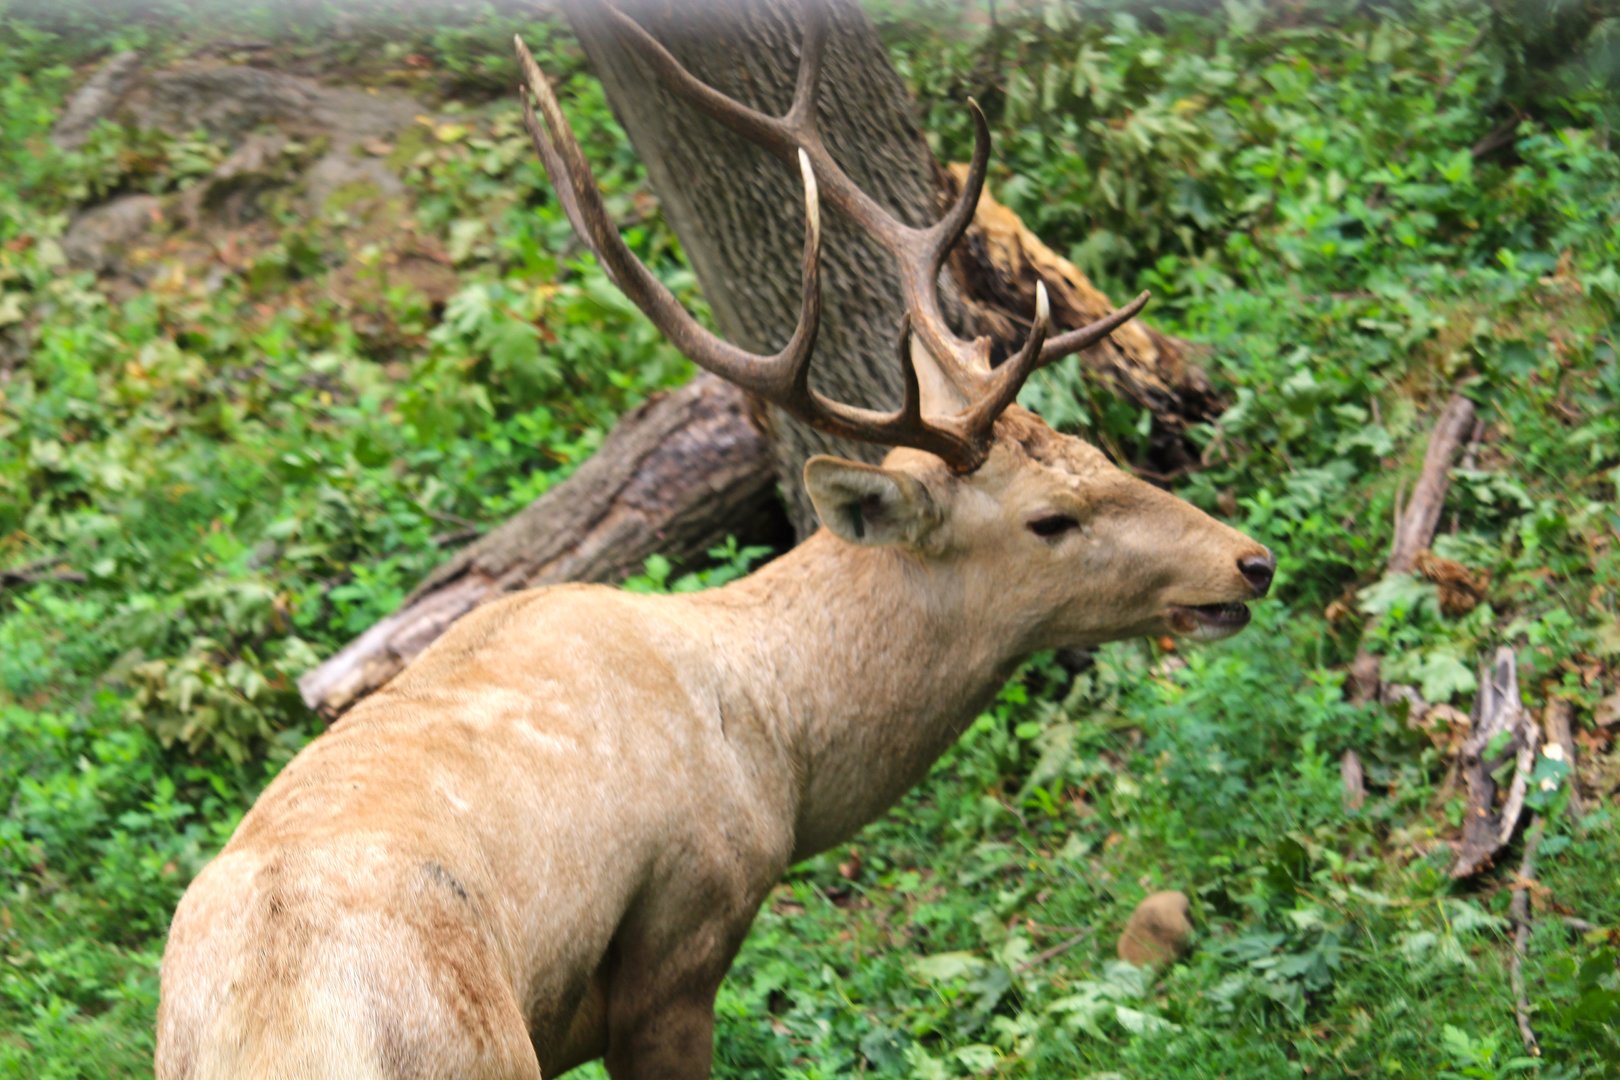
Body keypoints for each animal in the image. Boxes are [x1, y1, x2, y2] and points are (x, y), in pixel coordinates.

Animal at [155, 7, 1276, 1079]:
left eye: (1096, 450)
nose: (1250, 560)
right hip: (481, 1048)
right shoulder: (687, 930)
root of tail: (281, 1030)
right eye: (1051, 521)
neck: (779, 747)